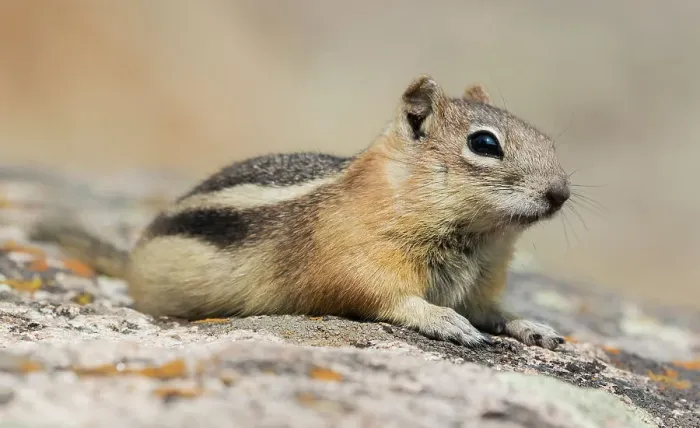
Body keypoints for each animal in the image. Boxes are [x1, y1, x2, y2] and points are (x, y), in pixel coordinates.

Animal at [31, 75, 571, 350]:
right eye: (485, 144)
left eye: (547, 139)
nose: (561, 193)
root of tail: (131, 259)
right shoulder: (358, 262)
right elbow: (385, 298)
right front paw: (443, 319)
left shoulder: (481, 284)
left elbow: (493, 311)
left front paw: (531, 325)